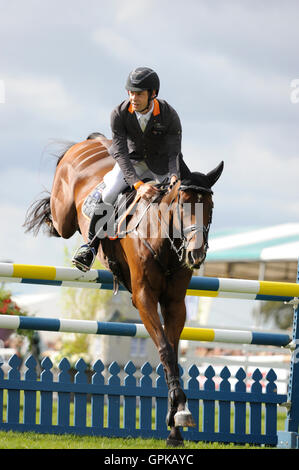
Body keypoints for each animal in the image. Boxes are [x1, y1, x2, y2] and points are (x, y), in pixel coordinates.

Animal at [24, 134, 224, 446]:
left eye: (210, 207)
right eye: (183, 204)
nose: (195, 254)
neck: (164, 240)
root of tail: (92, 141)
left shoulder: (175, 304)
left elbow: (173, 354)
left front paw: (176, 424)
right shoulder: (144, 298)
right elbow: (165, 350)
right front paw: (179, 414)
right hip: (65, 214)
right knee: (57, 220)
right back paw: (68, 237)